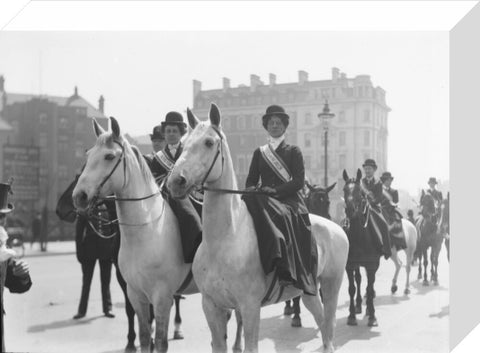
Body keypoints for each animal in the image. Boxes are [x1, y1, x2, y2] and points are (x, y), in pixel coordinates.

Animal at [55, 175, 185, 350]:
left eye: (79, 176)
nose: (60, 208)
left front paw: (149, 338)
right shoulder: (124, 278)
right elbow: (130, 310)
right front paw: (131, 341)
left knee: (175, 299)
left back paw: (177, 327)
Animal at [72, 117, 242, 352]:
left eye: (109, 156)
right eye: (88, 155)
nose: (79, 196)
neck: (145, 232)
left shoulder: (162, 297)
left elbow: (160, 341)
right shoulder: (136, 294)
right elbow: (145, 337)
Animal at [340, 169, 384, 326]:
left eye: (359, 191)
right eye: (344, 189)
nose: (350, 210)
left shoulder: (372, 265)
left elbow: (370, 288)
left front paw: (372, 316)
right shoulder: (349, 265)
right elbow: (352, 288)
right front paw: (352, 315)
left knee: (368, 284)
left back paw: (368, 309)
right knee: (358, 280)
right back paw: (358, 305)